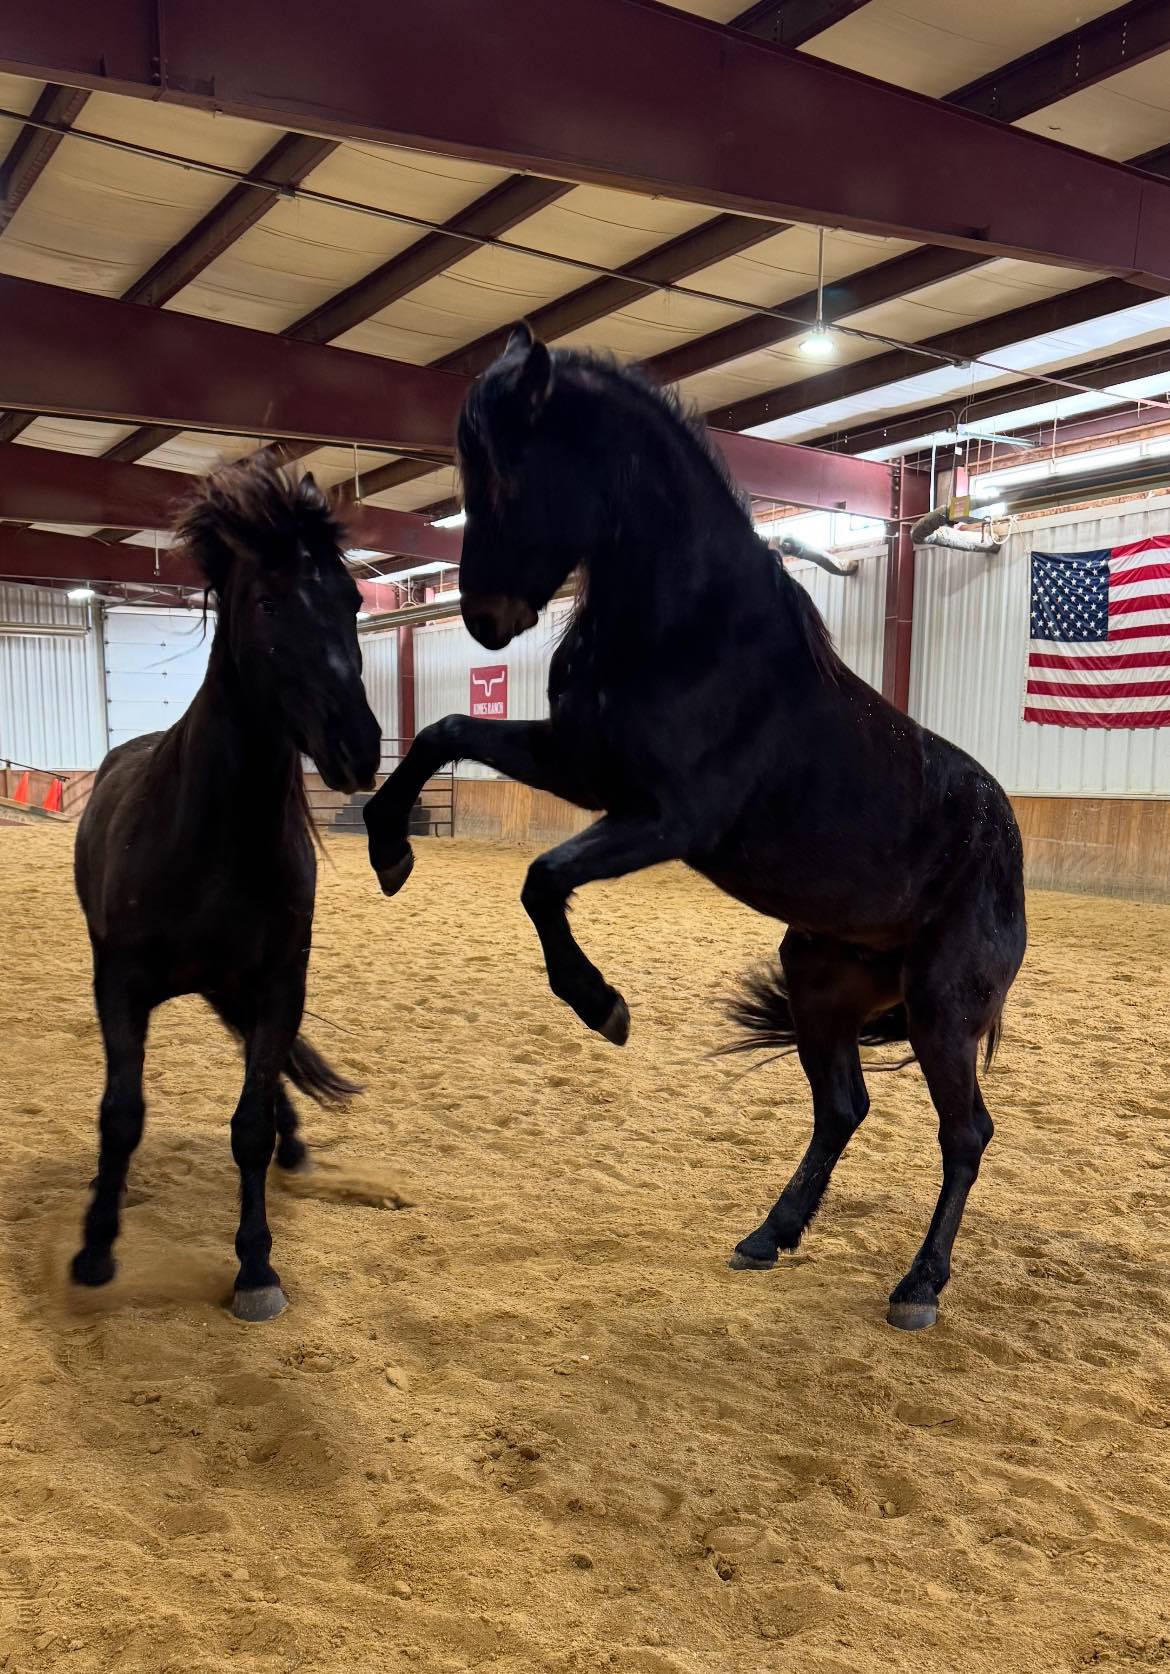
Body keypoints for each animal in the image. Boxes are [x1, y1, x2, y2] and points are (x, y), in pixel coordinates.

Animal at [72, 461, 382, 1321]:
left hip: (232, 986)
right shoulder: (120, 985)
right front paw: (96, 1246)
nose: (358, 747)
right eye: (269, 602)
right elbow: (121, 1114)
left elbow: (250, 1123)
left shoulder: (279, 983)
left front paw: (256, 1268)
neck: (209, 838)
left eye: (351, 600)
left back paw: (294, 1141)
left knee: (260, 1072)